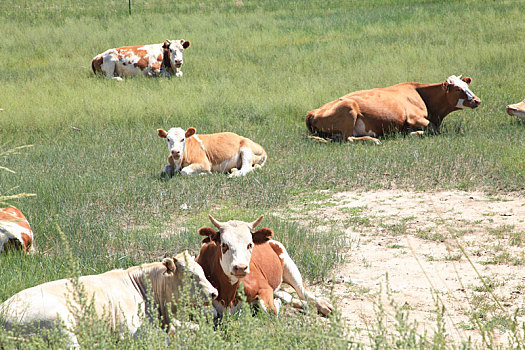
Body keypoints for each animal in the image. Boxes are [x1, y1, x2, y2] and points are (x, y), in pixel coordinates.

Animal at [0, 252, 217, 348]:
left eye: (202, 270)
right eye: (191, 276)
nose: (215, 292)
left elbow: (196, 327)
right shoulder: (128, 331)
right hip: (60, 323)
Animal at [196, 213, 332, 318]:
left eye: (250, 244)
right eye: (224, 245)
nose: (240, 268)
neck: (228, 295)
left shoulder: (264, 287)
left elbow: (271, 311)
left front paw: (276, 303)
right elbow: (210, 312)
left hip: (289, 266)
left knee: (303, 292)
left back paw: (324, 306)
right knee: (289, 296)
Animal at [304, 74, 482, 144]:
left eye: (466, 85)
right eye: (458, 89)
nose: (477, 100)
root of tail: (313, 111)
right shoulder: (414, 118)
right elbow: (433, 129)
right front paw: (412, 133)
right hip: (349, 107)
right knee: (348, 138)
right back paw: (373, 140)